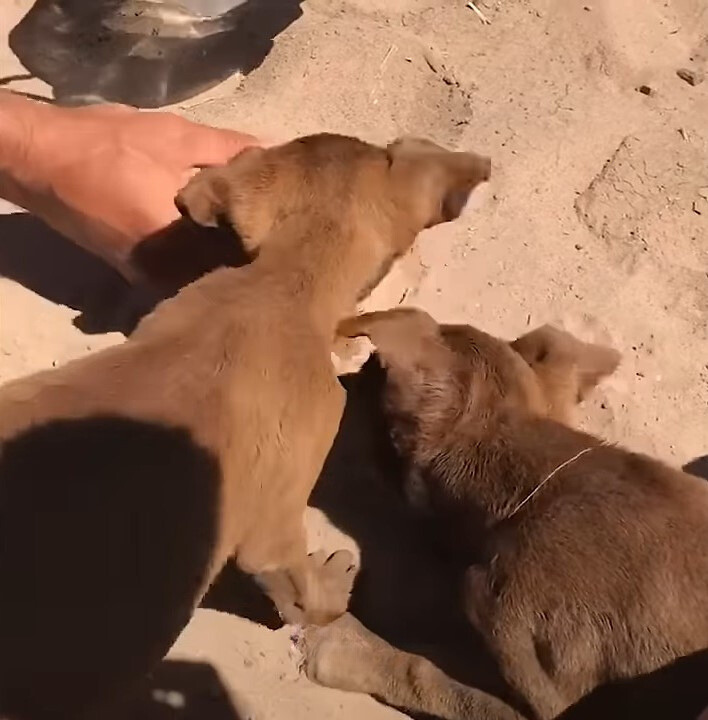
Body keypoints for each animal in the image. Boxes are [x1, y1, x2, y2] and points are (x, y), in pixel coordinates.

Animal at [298, 306, 708, 720]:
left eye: (373, 370)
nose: (351, 376)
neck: (531, 490)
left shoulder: (543, 682)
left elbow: (426, 672)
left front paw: (343, 643)